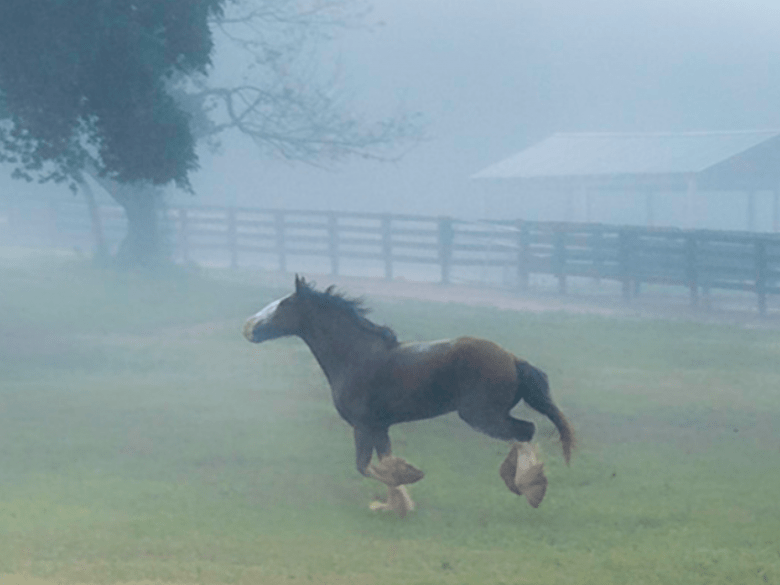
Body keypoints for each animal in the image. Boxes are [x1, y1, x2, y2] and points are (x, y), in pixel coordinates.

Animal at [243, 276, 574, 515]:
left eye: (284, 305)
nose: (248, 327)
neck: (355, 357)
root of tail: (514, 359)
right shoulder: (379, 426)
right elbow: (384, 462)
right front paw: (397, 504)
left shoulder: (362, 425)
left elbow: (366, 467)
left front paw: (407, 480)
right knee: (523, 433)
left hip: (481, 415)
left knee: (525, 431)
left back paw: (530, 487)